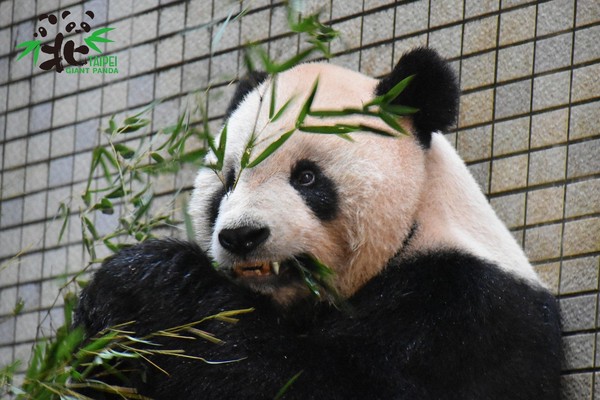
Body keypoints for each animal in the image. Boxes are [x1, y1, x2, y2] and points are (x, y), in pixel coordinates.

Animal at [76, 47, 564, 400]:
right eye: (229, 181)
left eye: (307, 177)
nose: (242, 236)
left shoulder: (461, 316)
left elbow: (308, 382)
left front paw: (147, 278)